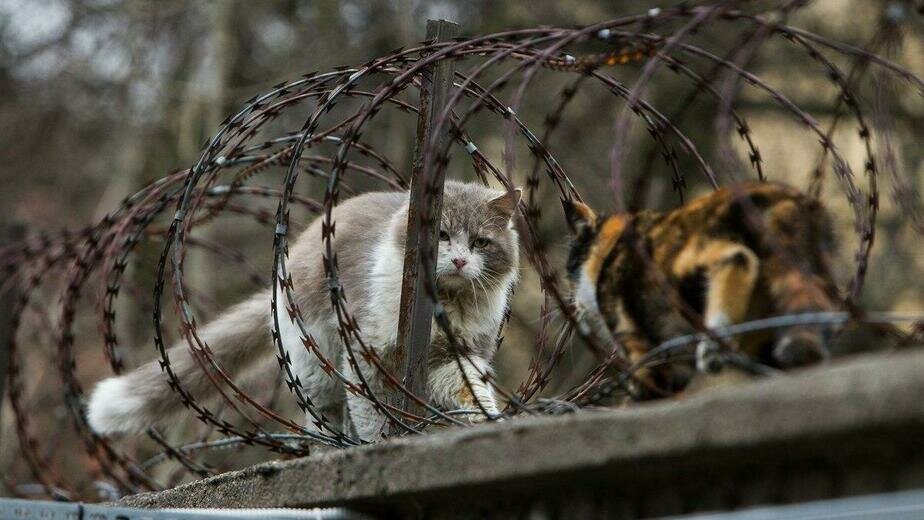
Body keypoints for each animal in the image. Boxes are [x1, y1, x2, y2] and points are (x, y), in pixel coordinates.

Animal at [86, 181, 520, 440]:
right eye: (442, 235)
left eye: (480, 243)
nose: (460, 261)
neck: (444, 304)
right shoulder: (368, 354)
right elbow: (370, 413)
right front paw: (378, 443)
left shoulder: (457, 356)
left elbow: (471, 391)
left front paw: (487, 419)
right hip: (317, 362)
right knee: (326, 412)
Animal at [568, 181, 840, 396]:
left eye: (570, 269)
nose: (573, 301)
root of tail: (787, 198)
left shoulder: (633, 335)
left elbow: (651, 379)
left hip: (685, 265)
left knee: (737, 258)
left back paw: (714, 346)